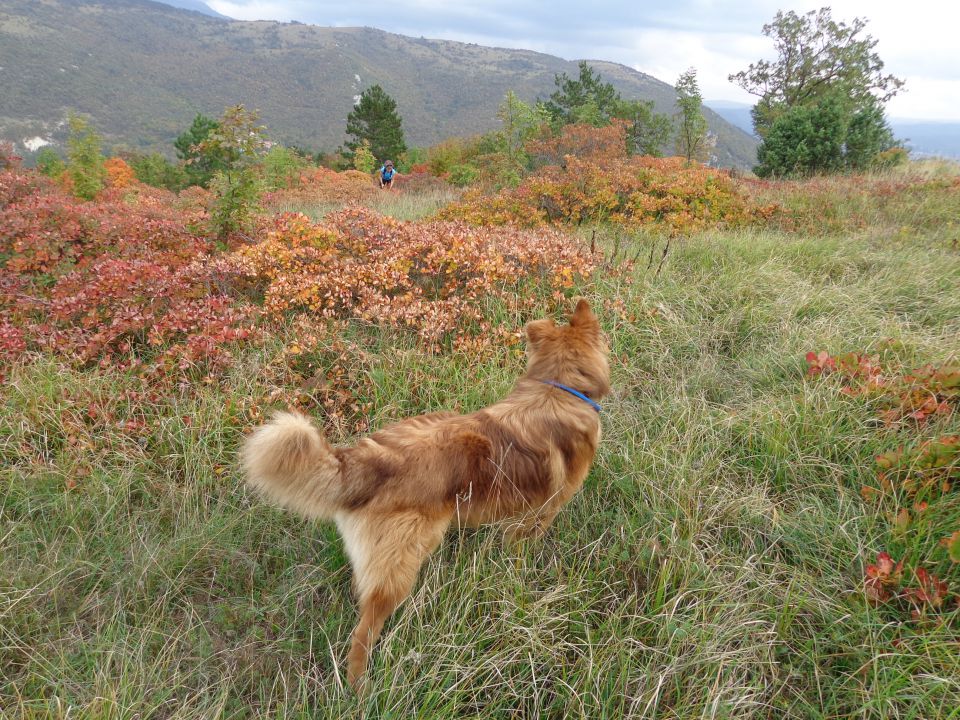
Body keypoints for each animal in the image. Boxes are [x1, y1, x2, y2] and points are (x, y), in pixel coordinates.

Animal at [244, 296, 612, 688]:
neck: (557, 388)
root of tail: (365, 460)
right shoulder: (542, 511)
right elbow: (524, 546)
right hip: (400, 568)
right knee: (364, 632)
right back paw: (360, 687)